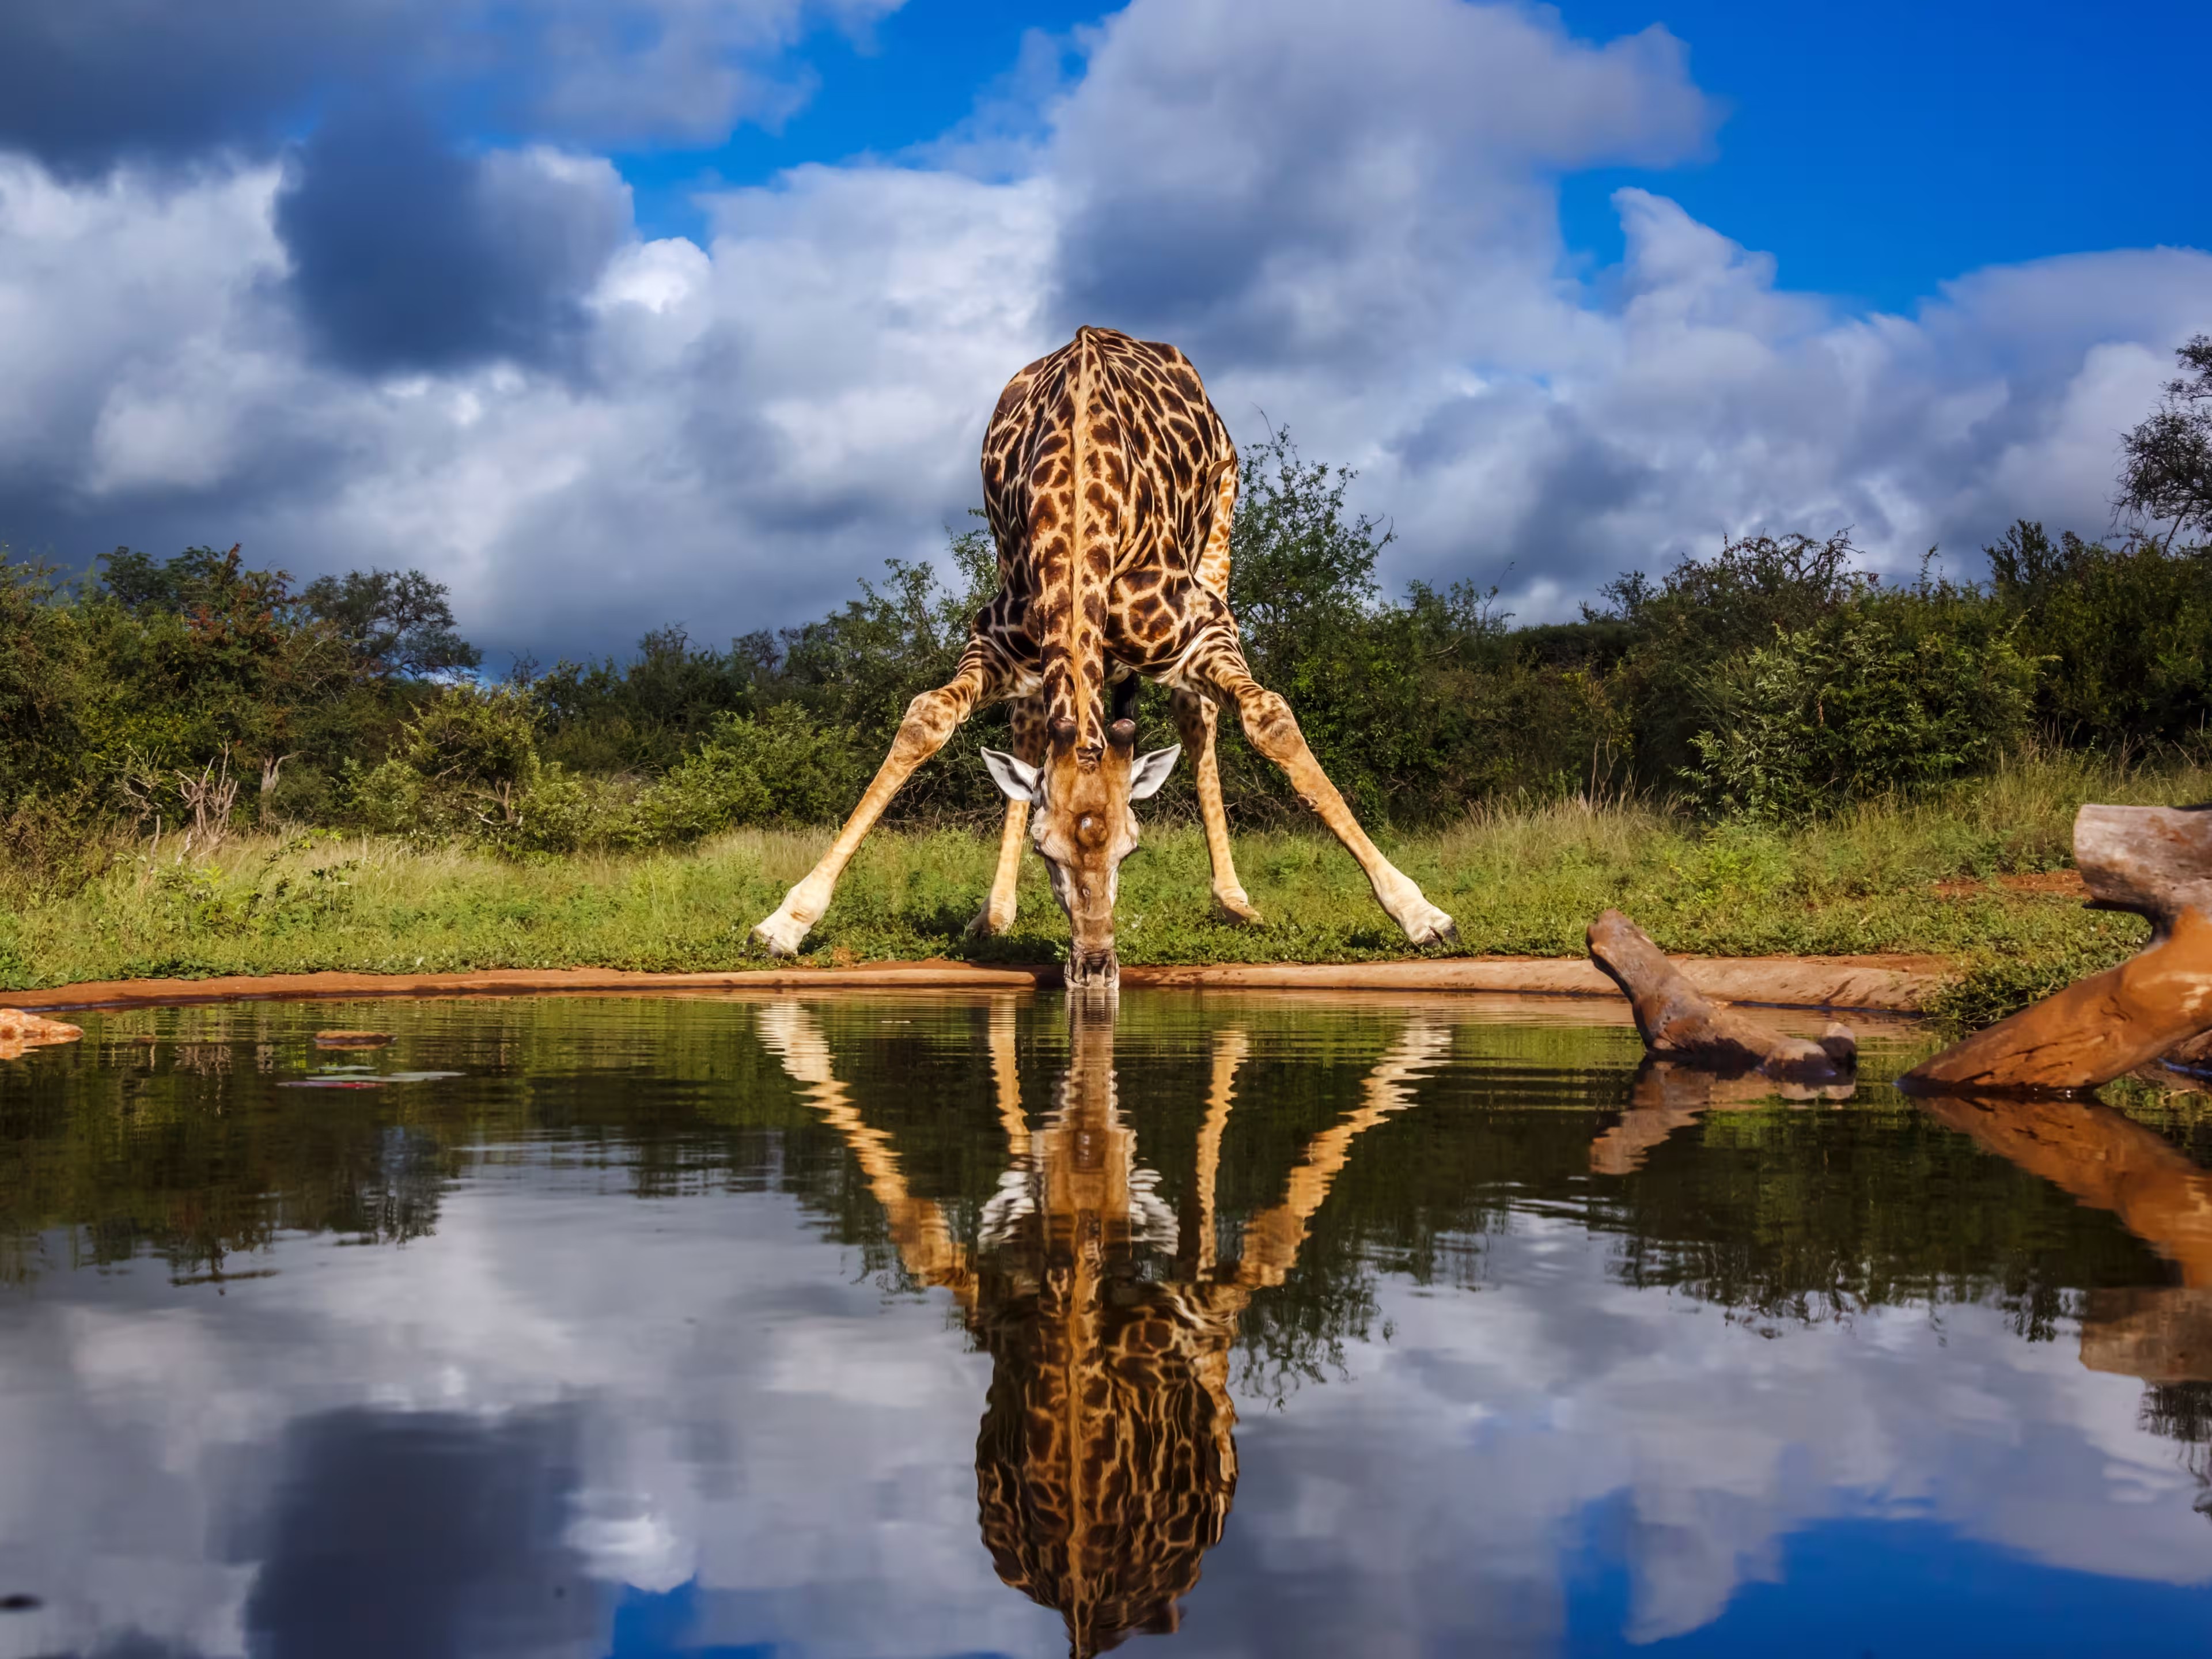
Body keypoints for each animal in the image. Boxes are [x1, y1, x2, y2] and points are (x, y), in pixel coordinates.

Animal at [751, 325, 1456, 990]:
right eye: (1048, 853)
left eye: (1131, 850)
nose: (1094, 967)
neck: (1082, 497)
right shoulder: (996, 639)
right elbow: (926, 720)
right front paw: (787, 921)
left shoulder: (1203, 628)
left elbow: (1273, 720)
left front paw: (1420, 912)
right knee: (1031, 727)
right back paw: (995, 913)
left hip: (1222, 525)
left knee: (1196, 713)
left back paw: (1234, 901)